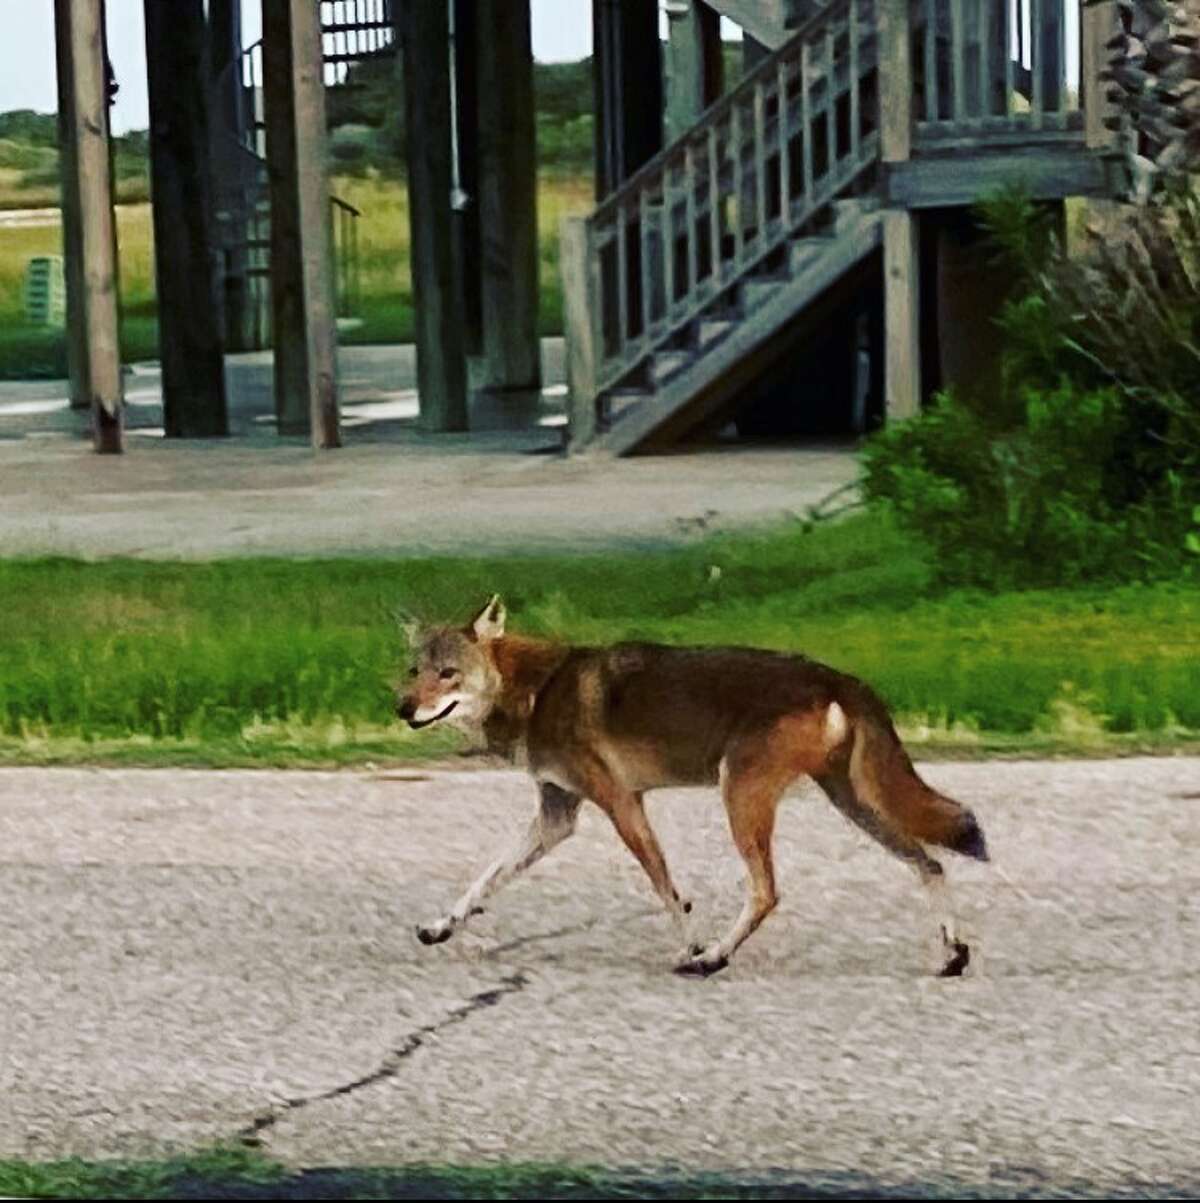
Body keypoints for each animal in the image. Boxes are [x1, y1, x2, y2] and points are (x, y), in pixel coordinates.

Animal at [397, 596, 988, 977]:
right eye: (412, 670)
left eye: (448, 673)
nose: (402, 709)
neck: (537, 692)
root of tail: (837, 677)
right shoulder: (556, 816)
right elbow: (483, 880)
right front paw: (439, 927)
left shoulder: (620, 803)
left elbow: (667, 890)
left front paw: (690, 948)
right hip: (852, 804)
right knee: (930, 862)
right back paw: (953, 955)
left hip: (743, 800)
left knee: (767, 892)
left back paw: (714, 959)